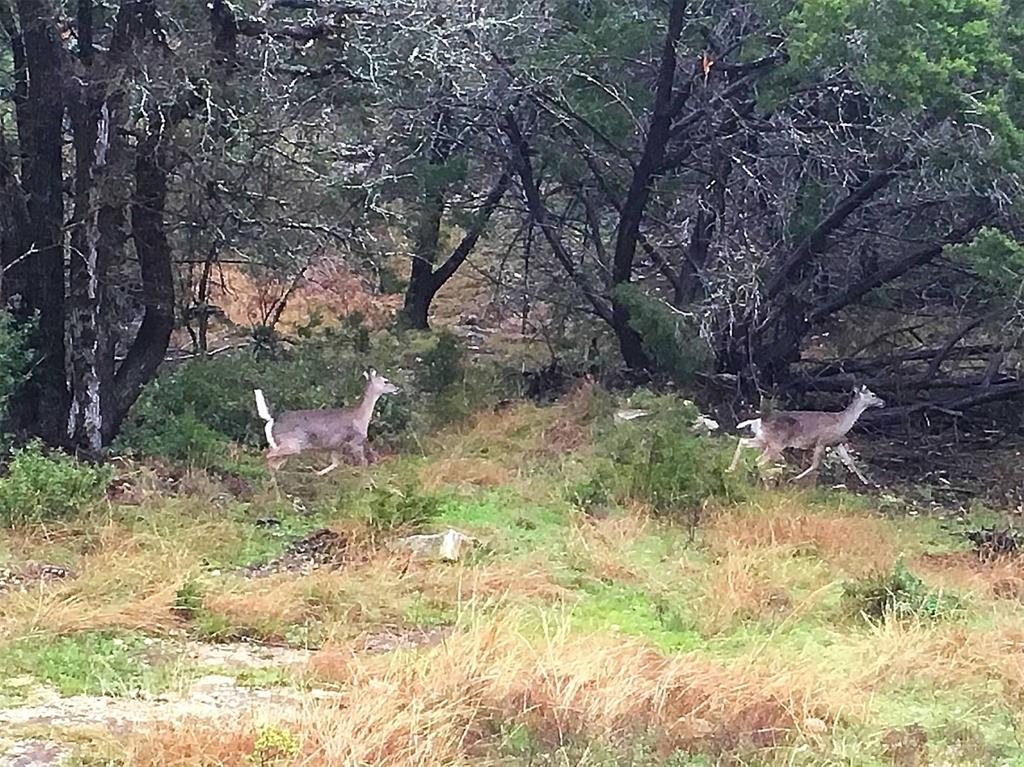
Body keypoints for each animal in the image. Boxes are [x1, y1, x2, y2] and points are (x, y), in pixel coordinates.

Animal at [253, 368, 397, 475]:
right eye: (385, 381)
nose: (397, 388)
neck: (360, 416)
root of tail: (273, 420)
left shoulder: (335, 446)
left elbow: (335, 463)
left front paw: (316, 473)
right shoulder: (355, 441)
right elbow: (363, 463)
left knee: (273, 462)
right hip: (291, 444)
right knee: (269, 457)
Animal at [724, 382, 884, 485]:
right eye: (873, 395)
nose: (883, 402)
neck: (841, 422)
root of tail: (758, 421)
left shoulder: (836, 443)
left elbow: (850, 462)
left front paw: (867, 482)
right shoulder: (821, 441)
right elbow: (815, 464)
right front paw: (794, 479)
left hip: (763, 439)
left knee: (743, 442)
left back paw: (731, 469)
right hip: (776, 443)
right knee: (760, 460)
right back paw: (766, 484)